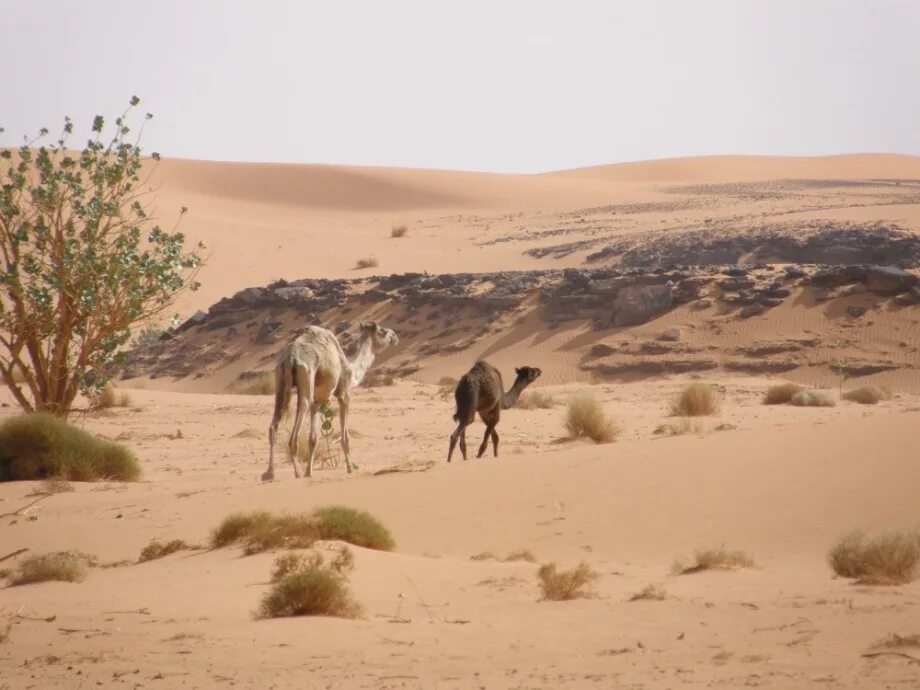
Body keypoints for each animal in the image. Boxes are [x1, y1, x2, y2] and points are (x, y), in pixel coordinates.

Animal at [262, 322, 398, 478]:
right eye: (383, 331)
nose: (395, 336)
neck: (350, 369)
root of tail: (290, 357)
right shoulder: (344, 394)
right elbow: (345, 437)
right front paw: (350, 468)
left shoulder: (317, 402)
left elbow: (313, 438)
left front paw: (309, 472)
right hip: (306, 374)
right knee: (296, 427)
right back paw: (296, 473)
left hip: (279, 377)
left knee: (274, 424)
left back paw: (269, 473)